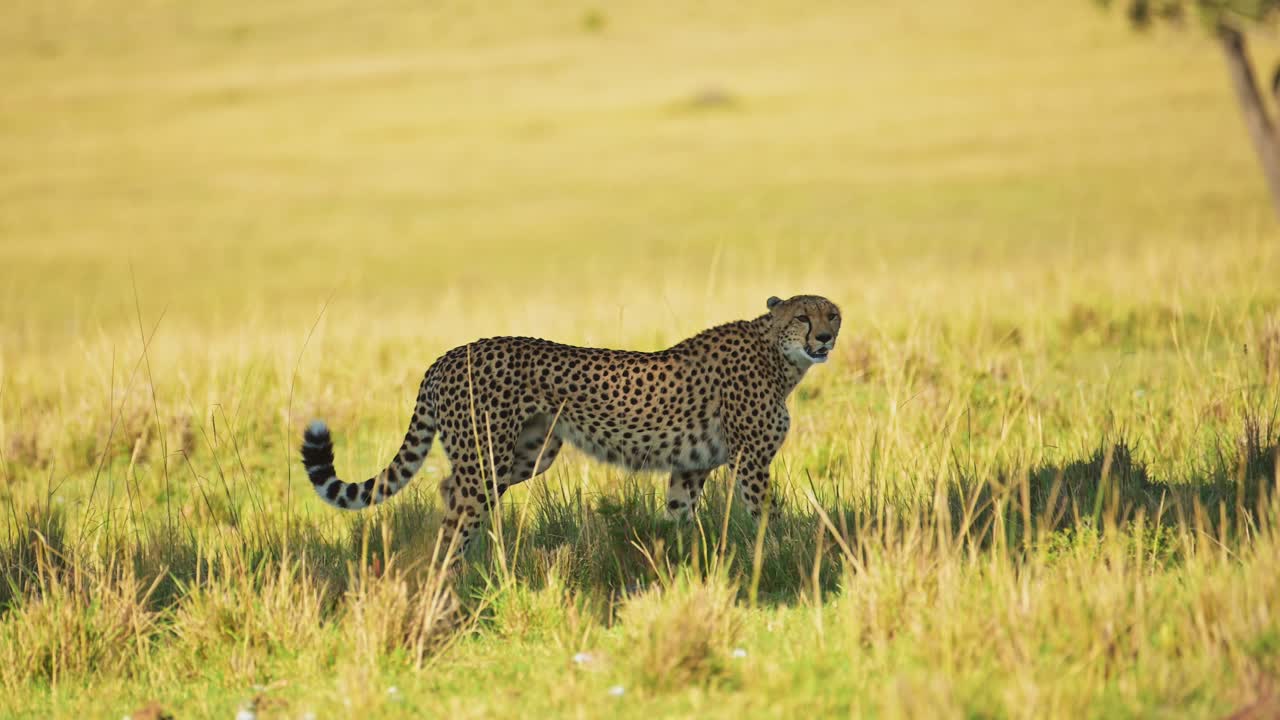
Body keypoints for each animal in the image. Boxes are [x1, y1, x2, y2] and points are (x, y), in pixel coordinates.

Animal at [299, 294, 841, 564]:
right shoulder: (750, 461)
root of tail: (448, 355)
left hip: (529, 453)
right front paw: (783, 553)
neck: (778, 354)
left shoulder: (691, 467)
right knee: (459, 506)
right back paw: (449, 576)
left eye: (832, 314)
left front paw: (681, 563)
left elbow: (679, 518)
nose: (826, 337)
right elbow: (767, 516)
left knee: (449, 489)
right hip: (488, 456)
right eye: (802, 316)